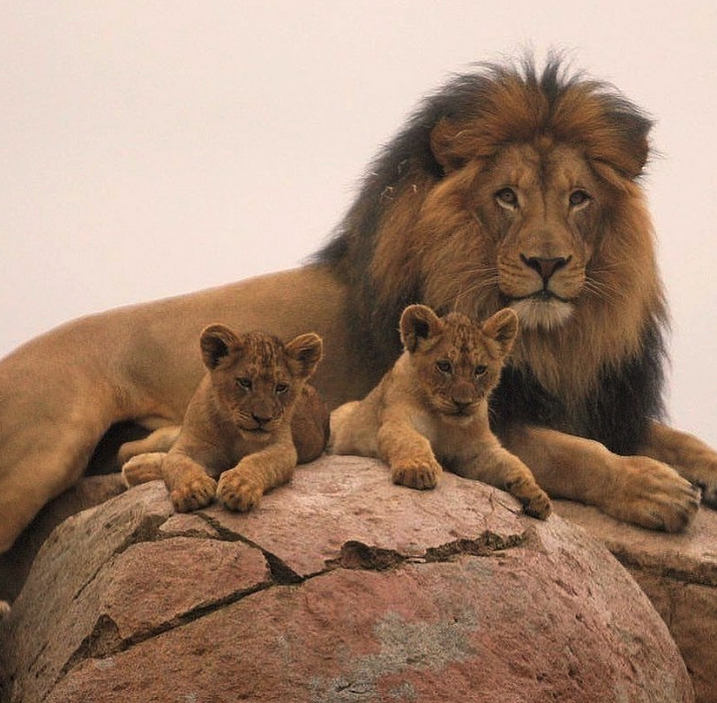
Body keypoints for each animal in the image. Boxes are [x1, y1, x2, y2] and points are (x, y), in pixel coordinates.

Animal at [0, 57, 712, 552]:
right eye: (507, 197)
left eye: (578, 198)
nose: (547, 264)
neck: (558, 343)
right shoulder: (490, 419)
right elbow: (573, 453)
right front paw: (655, 488)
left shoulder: (601, 403)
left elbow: (675, 439)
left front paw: (695, 470)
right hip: (50, 440)